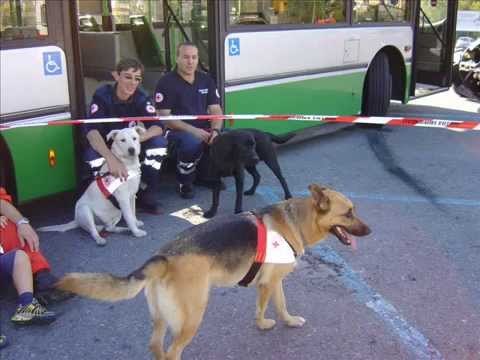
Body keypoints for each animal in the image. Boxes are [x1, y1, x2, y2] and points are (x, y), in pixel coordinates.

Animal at [57, 184, 372, 358]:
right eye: (348, 213)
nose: (370, 231)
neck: (296, 219)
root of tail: (163, 256)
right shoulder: (267, 285)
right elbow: (263, 308)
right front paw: (263, 325)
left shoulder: (275, 282)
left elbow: (282, 305)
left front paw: (289, 321)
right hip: (192, 317)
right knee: (172, 352)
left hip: (161, 318)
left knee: (156, 346)